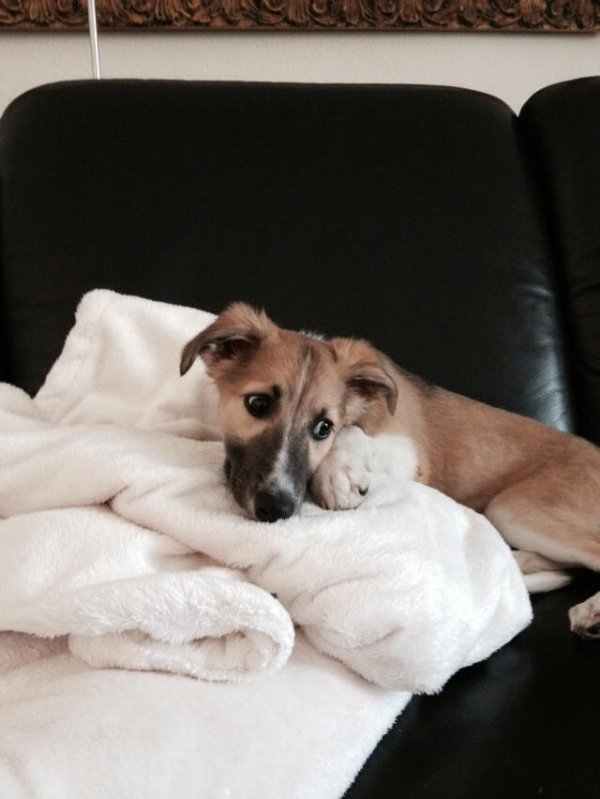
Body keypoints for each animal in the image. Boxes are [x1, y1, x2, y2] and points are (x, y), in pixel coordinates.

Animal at [180, 302, 600, 639]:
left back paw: (589, 610)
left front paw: (338, 476)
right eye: (258, 404)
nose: (276, 509)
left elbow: (354, 433)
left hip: (516, 507)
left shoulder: (410, 453)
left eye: (323, 428)